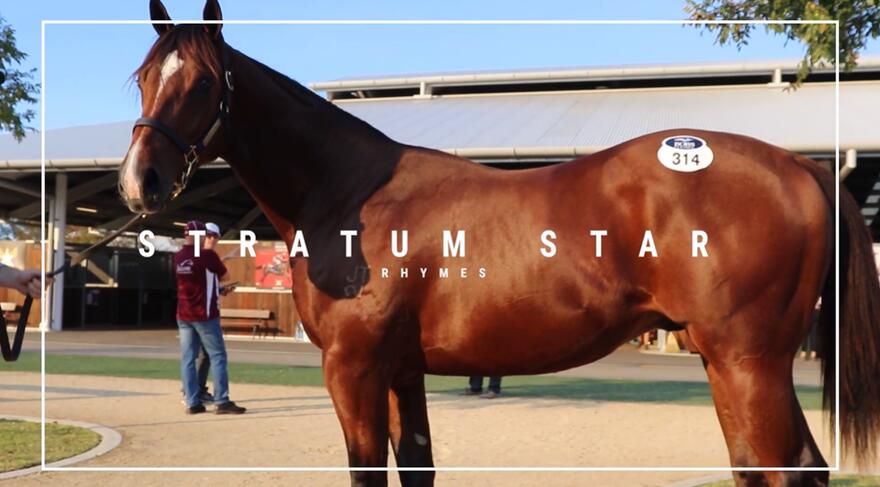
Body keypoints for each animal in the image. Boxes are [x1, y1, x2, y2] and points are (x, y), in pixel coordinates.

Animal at [118, 2, 880, 486]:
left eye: (204, 83)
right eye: (145, 77)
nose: (139, 181)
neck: (350, 191)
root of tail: (800, 165)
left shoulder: (353, 368)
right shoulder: (401, 371)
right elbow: (417, 467)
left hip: (748, 362)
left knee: (790, 469)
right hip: (731, 364)